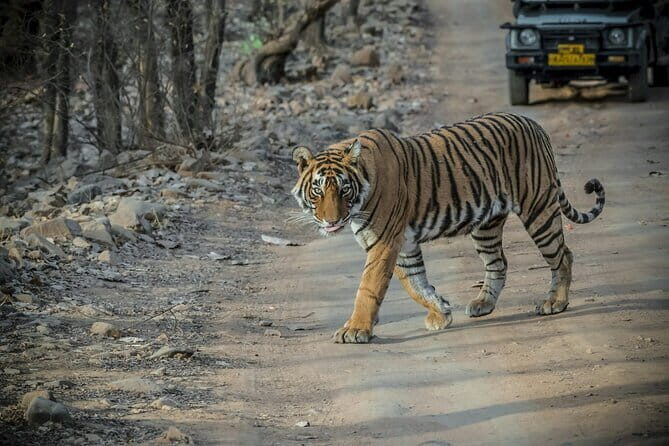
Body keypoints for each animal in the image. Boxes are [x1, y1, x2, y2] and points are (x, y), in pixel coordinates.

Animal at [291, 112, 605, 344]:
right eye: (318, 190)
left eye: (344, 189)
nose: (331, 221)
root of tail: (535, 124)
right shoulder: (403, 244)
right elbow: (415, 283)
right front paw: (440, 312)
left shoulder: (384, 242)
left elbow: (369, 287)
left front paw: (355, 330)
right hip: (487, 225)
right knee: (498, 262)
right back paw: (483, 304)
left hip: (538, 208)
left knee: (563, 255)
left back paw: (555, 303)